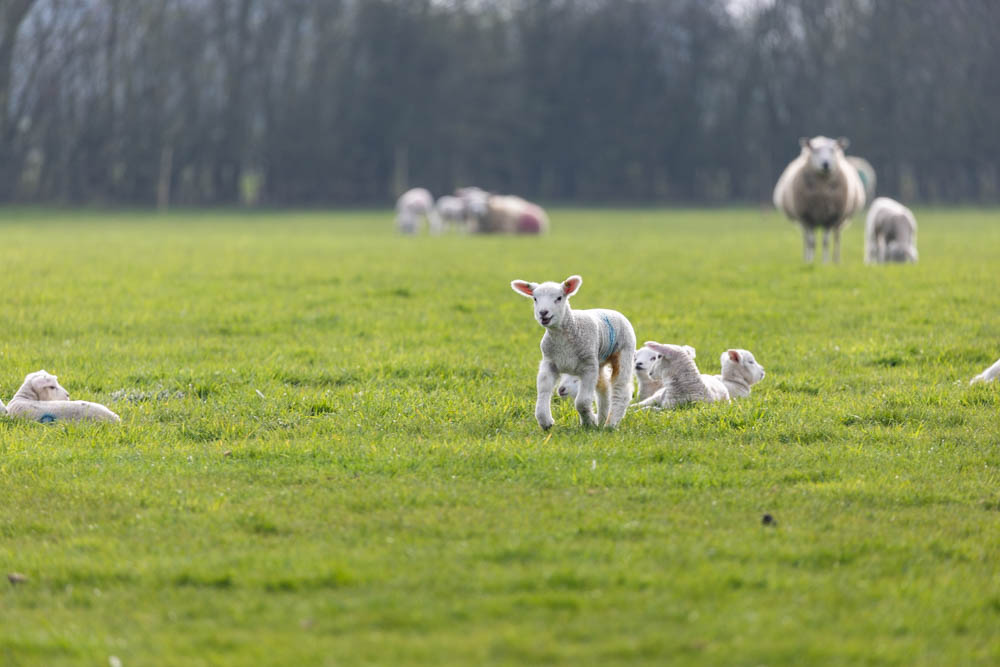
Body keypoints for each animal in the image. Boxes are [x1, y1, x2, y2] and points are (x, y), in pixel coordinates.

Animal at [511, 275, 635, 429]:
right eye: (535, 298)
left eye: (559, 298)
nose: (543, 313)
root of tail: (612, 310)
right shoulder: (549, 362)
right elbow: (544, 389)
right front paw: (545, 421)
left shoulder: (588, 366)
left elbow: (582, 401)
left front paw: (589, 422)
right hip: (598, 361)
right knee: (603, 387)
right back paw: (602, 419)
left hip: (624, 352)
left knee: (620, 389)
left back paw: (610, 424)